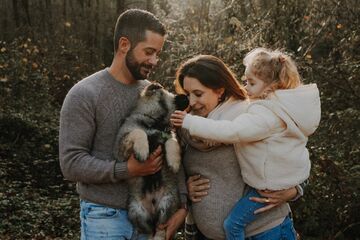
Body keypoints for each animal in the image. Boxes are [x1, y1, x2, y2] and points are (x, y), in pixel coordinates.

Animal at [114, 83, 188, 240]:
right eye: (172, 94)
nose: (187, 96)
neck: (155, 122)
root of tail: (153, 206)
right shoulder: (121, 148)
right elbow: (138, 132)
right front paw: (142, 150)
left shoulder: (167, 134)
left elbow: (172, 141)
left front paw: (174, 161)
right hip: (137, 212)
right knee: (148, 230)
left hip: (167, 204)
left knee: (160, 228)